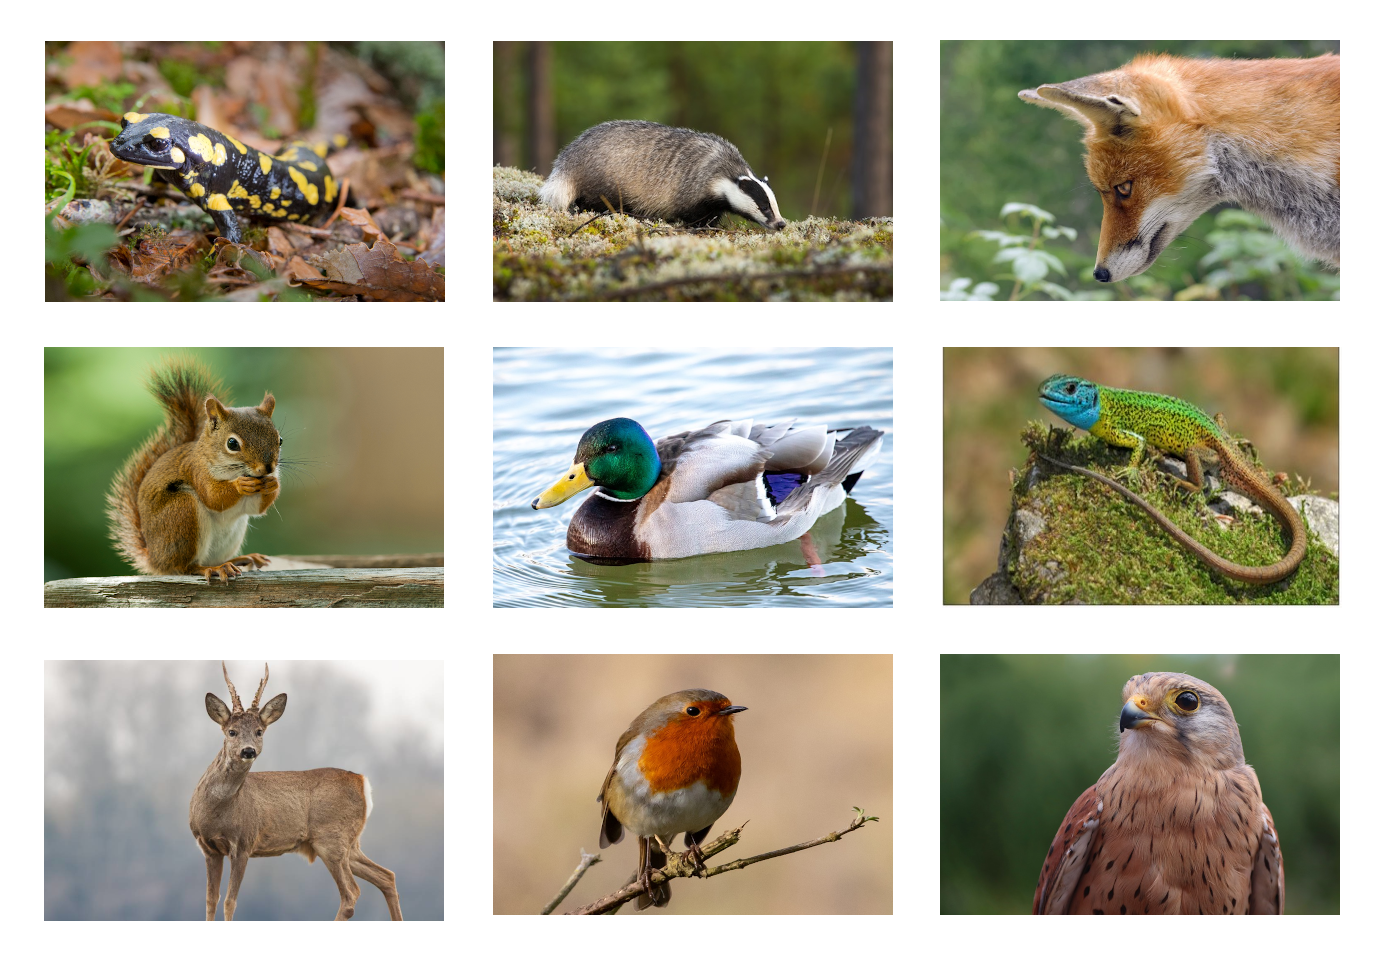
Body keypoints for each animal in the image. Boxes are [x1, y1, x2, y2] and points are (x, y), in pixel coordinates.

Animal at [107, 361, 282, 584]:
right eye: (232, 444)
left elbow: (256, 508)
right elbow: (214, 497)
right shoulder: (197, 471)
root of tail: (155, 559)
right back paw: (214, 568)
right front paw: (241, 485)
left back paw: (240, 559)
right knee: (185, 567)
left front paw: (273, 483)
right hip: (182, 512)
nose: (268, 468)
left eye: (279, 440)